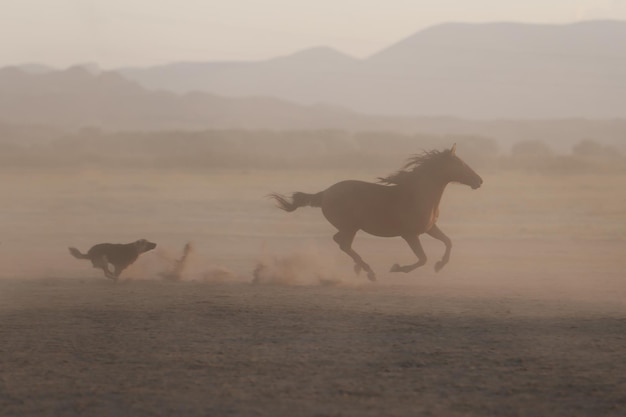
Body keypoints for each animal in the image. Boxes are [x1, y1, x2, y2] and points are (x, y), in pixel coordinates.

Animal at [270, 145, 482, 282]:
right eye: (461, 164)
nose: (479, 181)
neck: (418, 195)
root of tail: (325, 193)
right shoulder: (409, 235)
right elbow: (422, 258)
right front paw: (397, 268)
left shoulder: (430, 228)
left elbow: (448, 242)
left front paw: (440, 265)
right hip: (351, 227)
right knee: (344, 244)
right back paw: (369, 272)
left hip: (349, 228)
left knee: (340, 241)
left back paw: (359, 268)